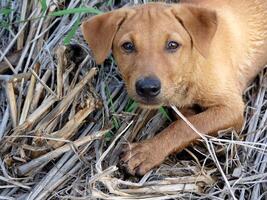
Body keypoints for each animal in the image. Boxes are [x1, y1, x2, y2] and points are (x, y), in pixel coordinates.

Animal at [81, 0, 267, 175]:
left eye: (173, 45)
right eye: (127, 46)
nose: (147, 88)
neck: (192, 65)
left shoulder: (232, 108)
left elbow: (186, 126)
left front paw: (147, 152)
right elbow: (184, 117)